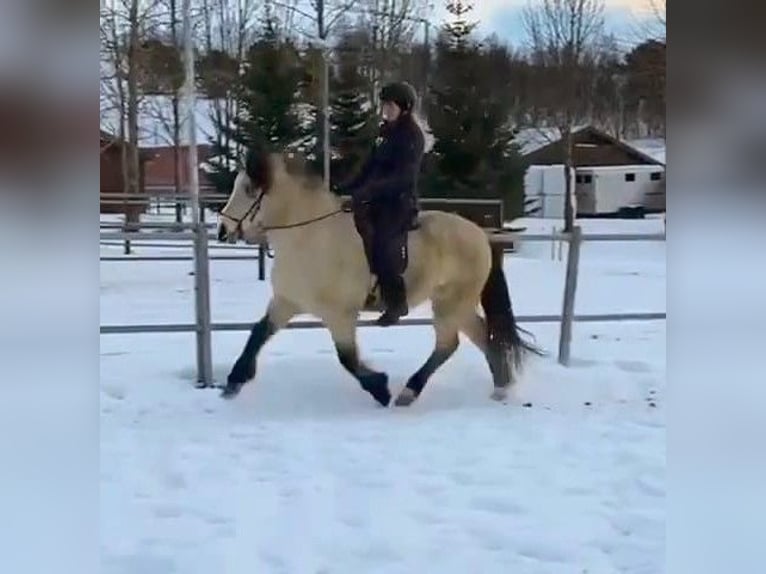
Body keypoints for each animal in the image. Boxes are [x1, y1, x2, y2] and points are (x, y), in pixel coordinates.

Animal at [216, 146, 543, 407]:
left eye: (249, 189)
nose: (223, 230)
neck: (310, 237)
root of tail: (479, 234)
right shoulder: (286, 302)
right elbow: (258, 333)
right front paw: (234, 381)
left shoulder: (340, 315)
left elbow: (347, 358)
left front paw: (380, 388)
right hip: (453, 303)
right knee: (481, 336)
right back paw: (501, 388)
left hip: (452, 304)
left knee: (448, 345)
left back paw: (409, 392)